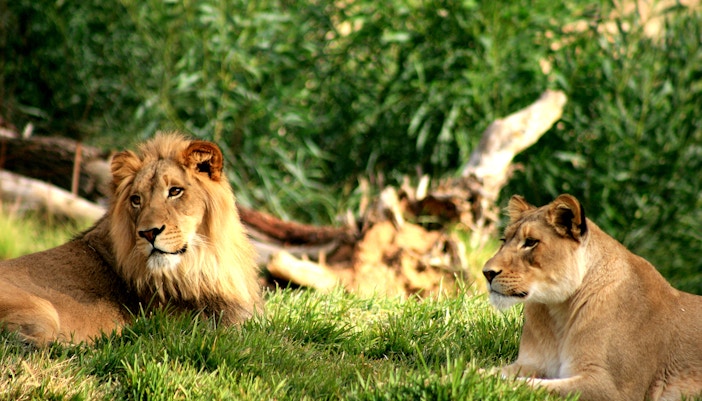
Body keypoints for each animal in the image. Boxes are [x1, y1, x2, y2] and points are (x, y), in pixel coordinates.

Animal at [0, 132, 263, 344]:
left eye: (175, 191)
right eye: (136, 199)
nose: (148, 233)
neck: (202, 264)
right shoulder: (201, 325)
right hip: (41, 308)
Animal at [482, 194, 702, 401]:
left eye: (530, 242)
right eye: (503, 241)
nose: (487, 273)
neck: (557, 314)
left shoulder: (614, 389)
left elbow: (528, 385)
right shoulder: (530, 363)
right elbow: (492, 373)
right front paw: (476, 372)